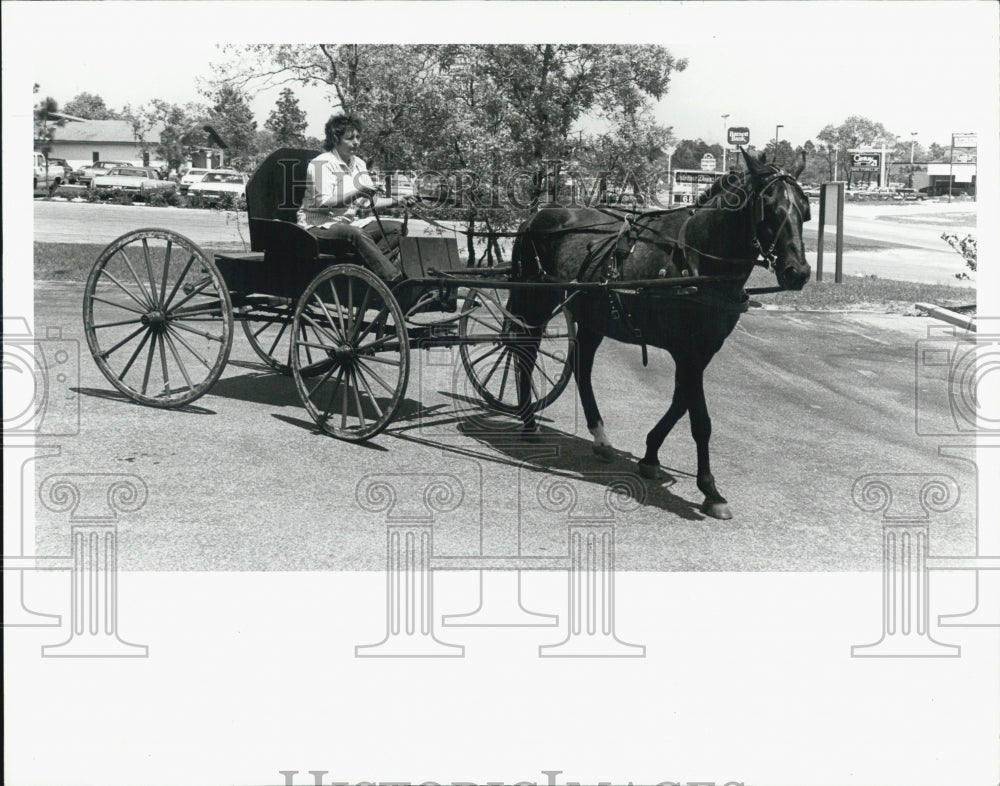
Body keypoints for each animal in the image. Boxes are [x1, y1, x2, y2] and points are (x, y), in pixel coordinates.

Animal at [508, 148, 812, 516]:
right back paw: (527, 423)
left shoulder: (702, 351)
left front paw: (651, 455)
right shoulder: (688, 352)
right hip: (536, 300)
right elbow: (700, 420)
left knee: (581, 368)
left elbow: (681, 401)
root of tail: (536, 216)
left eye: (805, 209)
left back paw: (600, 437)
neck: (698, 259)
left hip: (594, 316)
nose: (798, 272)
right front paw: (710, 490)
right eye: (769, 208)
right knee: (524, 354)